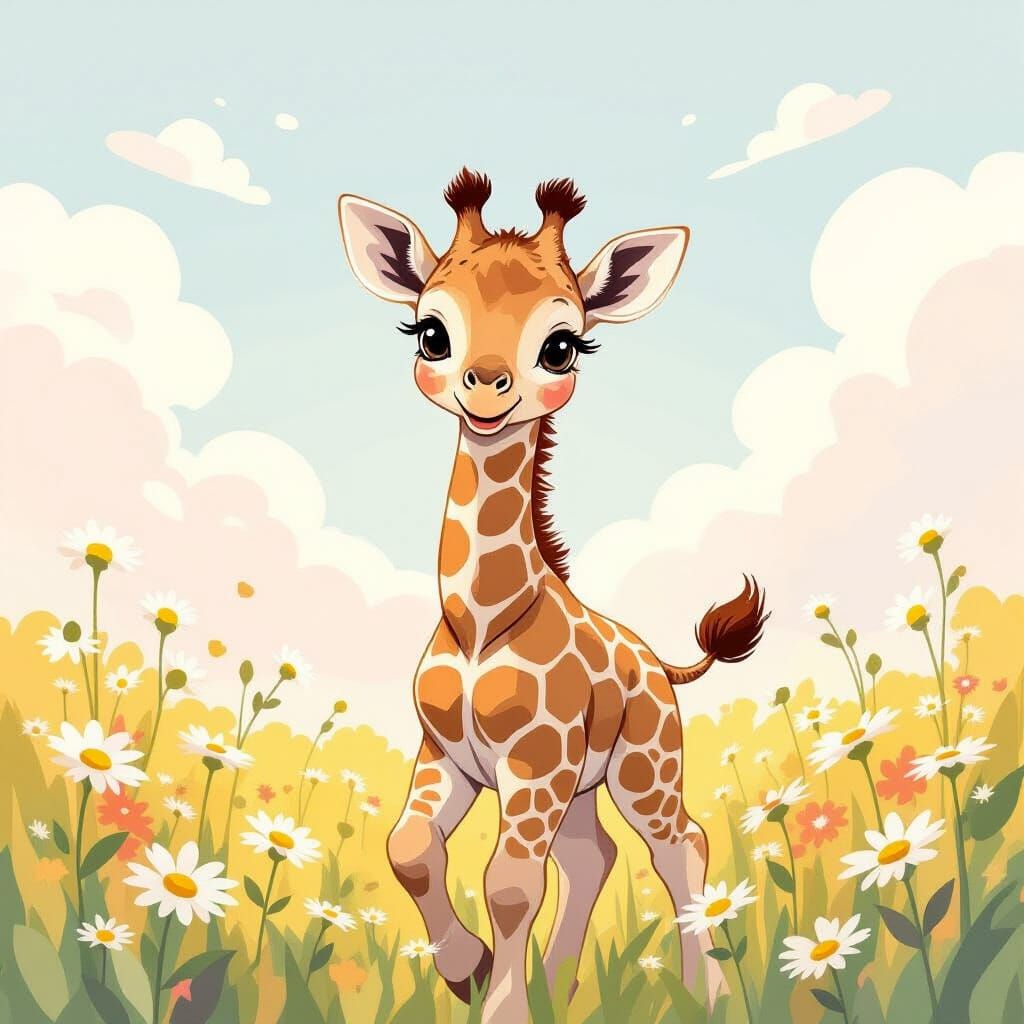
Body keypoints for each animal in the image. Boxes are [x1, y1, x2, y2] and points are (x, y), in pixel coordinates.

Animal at [337, 169, 767, 1024]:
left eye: (562, 344)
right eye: (430, 333)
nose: (486, 389)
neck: (482, 624)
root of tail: (661, 665)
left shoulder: (533, 762)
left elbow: (508, 883)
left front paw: (499, 1005)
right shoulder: (449, 754)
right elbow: (410, 850)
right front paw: (468, 971)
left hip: (643, 765)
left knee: (681, 845)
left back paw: (705, 994)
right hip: (581, 787)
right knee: (593, 856)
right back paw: (562, 985)